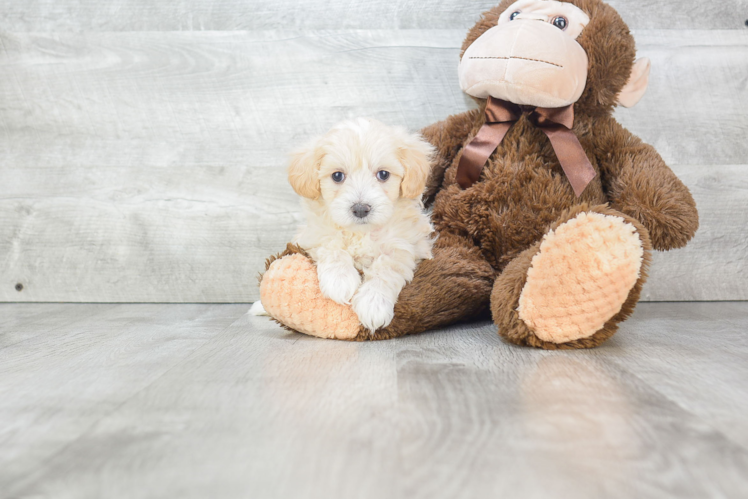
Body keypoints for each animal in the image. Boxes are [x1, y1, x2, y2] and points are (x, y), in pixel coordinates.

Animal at [251, 115, 436, 330]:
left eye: (383, 174)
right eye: (337, 176)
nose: (360, 209)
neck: (361, 232)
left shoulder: (404, 245)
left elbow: (386, 269)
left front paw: (373, 304)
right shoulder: (314, 234)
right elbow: (331, 245)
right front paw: (339, 281)